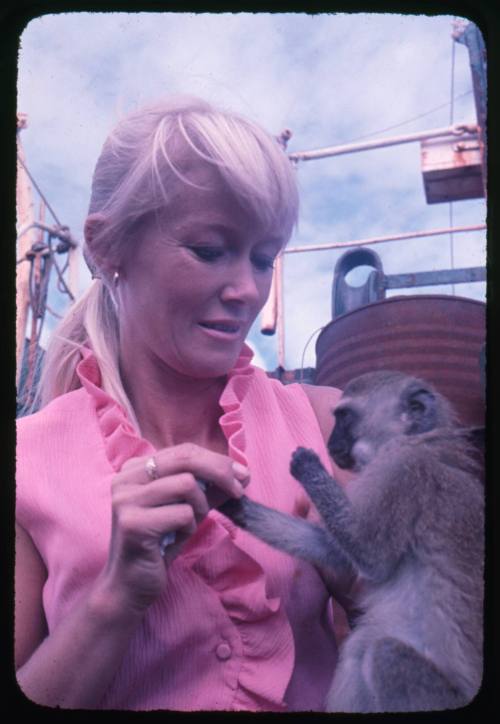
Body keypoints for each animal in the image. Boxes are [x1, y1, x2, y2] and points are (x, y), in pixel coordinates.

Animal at [220, 374, 484, 712]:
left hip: (439, 696)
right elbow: (334, 552)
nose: (332, 444)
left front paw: (307, 465)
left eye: (344, 416)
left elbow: (369, 554)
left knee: (382, 654)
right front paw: (232, 505)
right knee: (360, 649)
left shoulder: (402, 473)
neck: (419, 441)